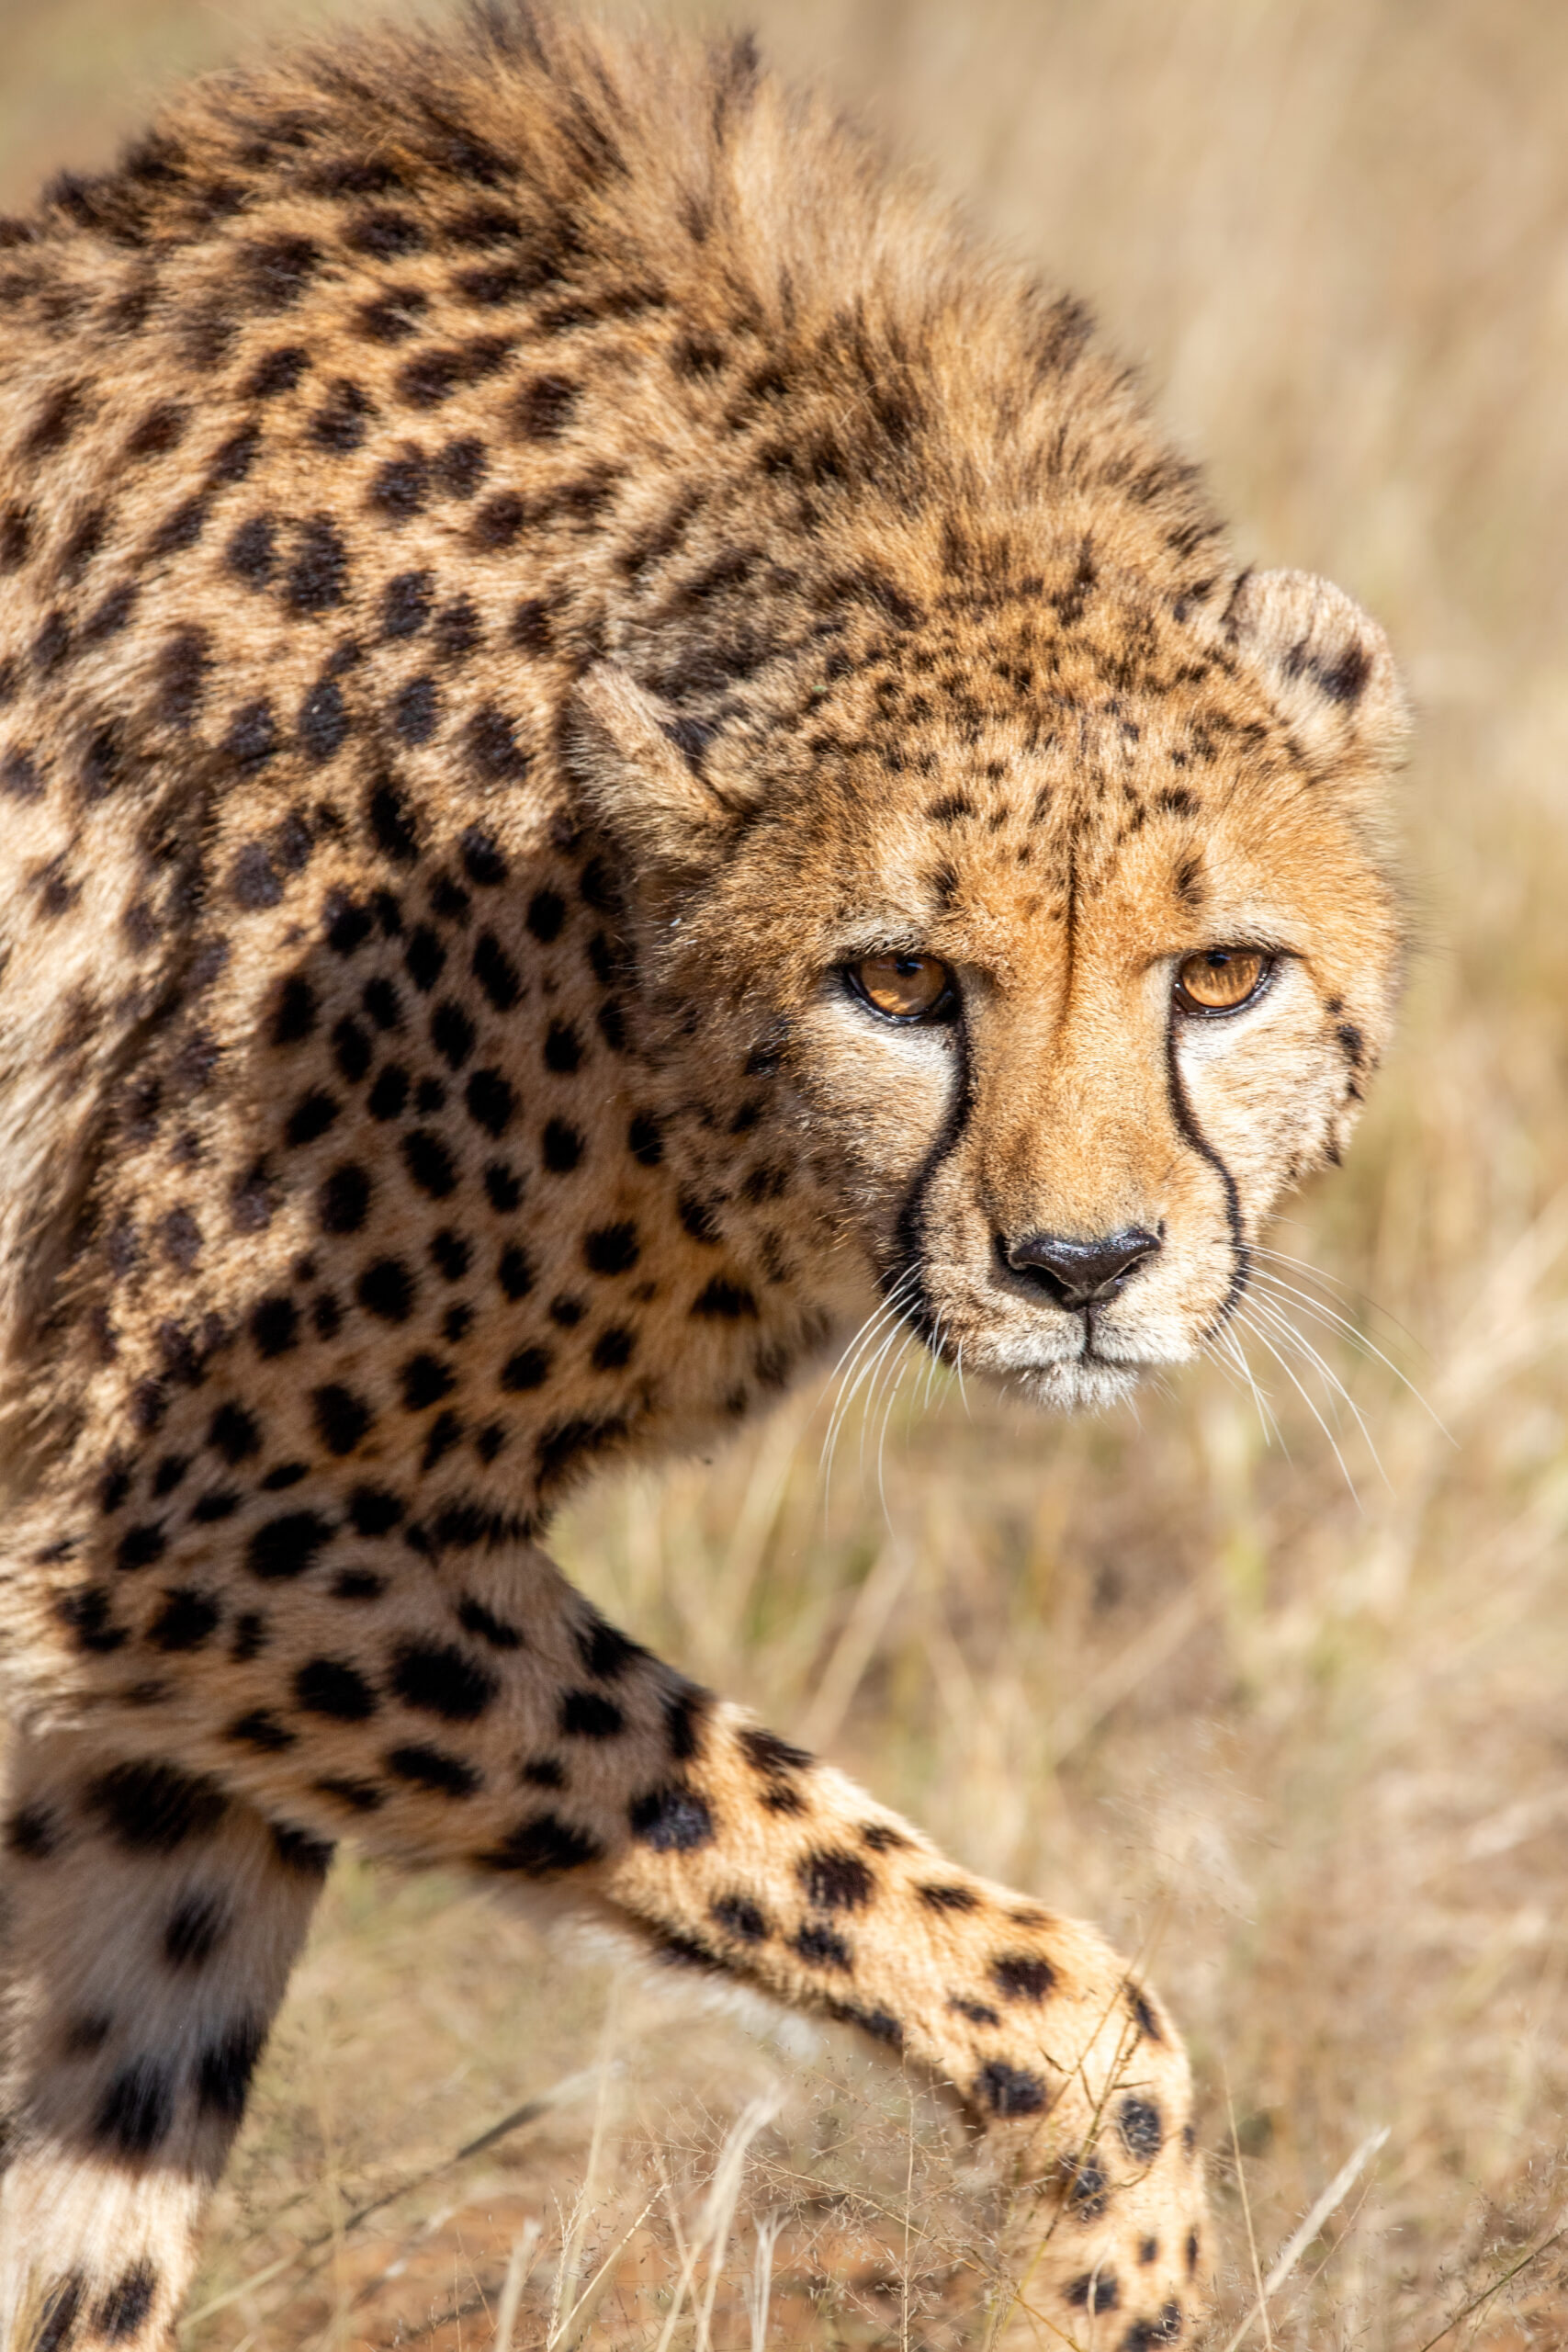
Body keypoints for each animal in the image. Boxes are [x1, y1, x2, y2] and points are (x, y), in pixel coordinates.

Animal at [0, 6, 1409, 2344]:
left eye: (1219, 972)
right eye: (895, 975)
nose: (1083, 1262)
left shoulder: (181, 1655)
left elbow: (98, 2159)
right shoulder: (186, 1527)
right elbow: (1036, 1977)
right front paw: (1104, 2267)